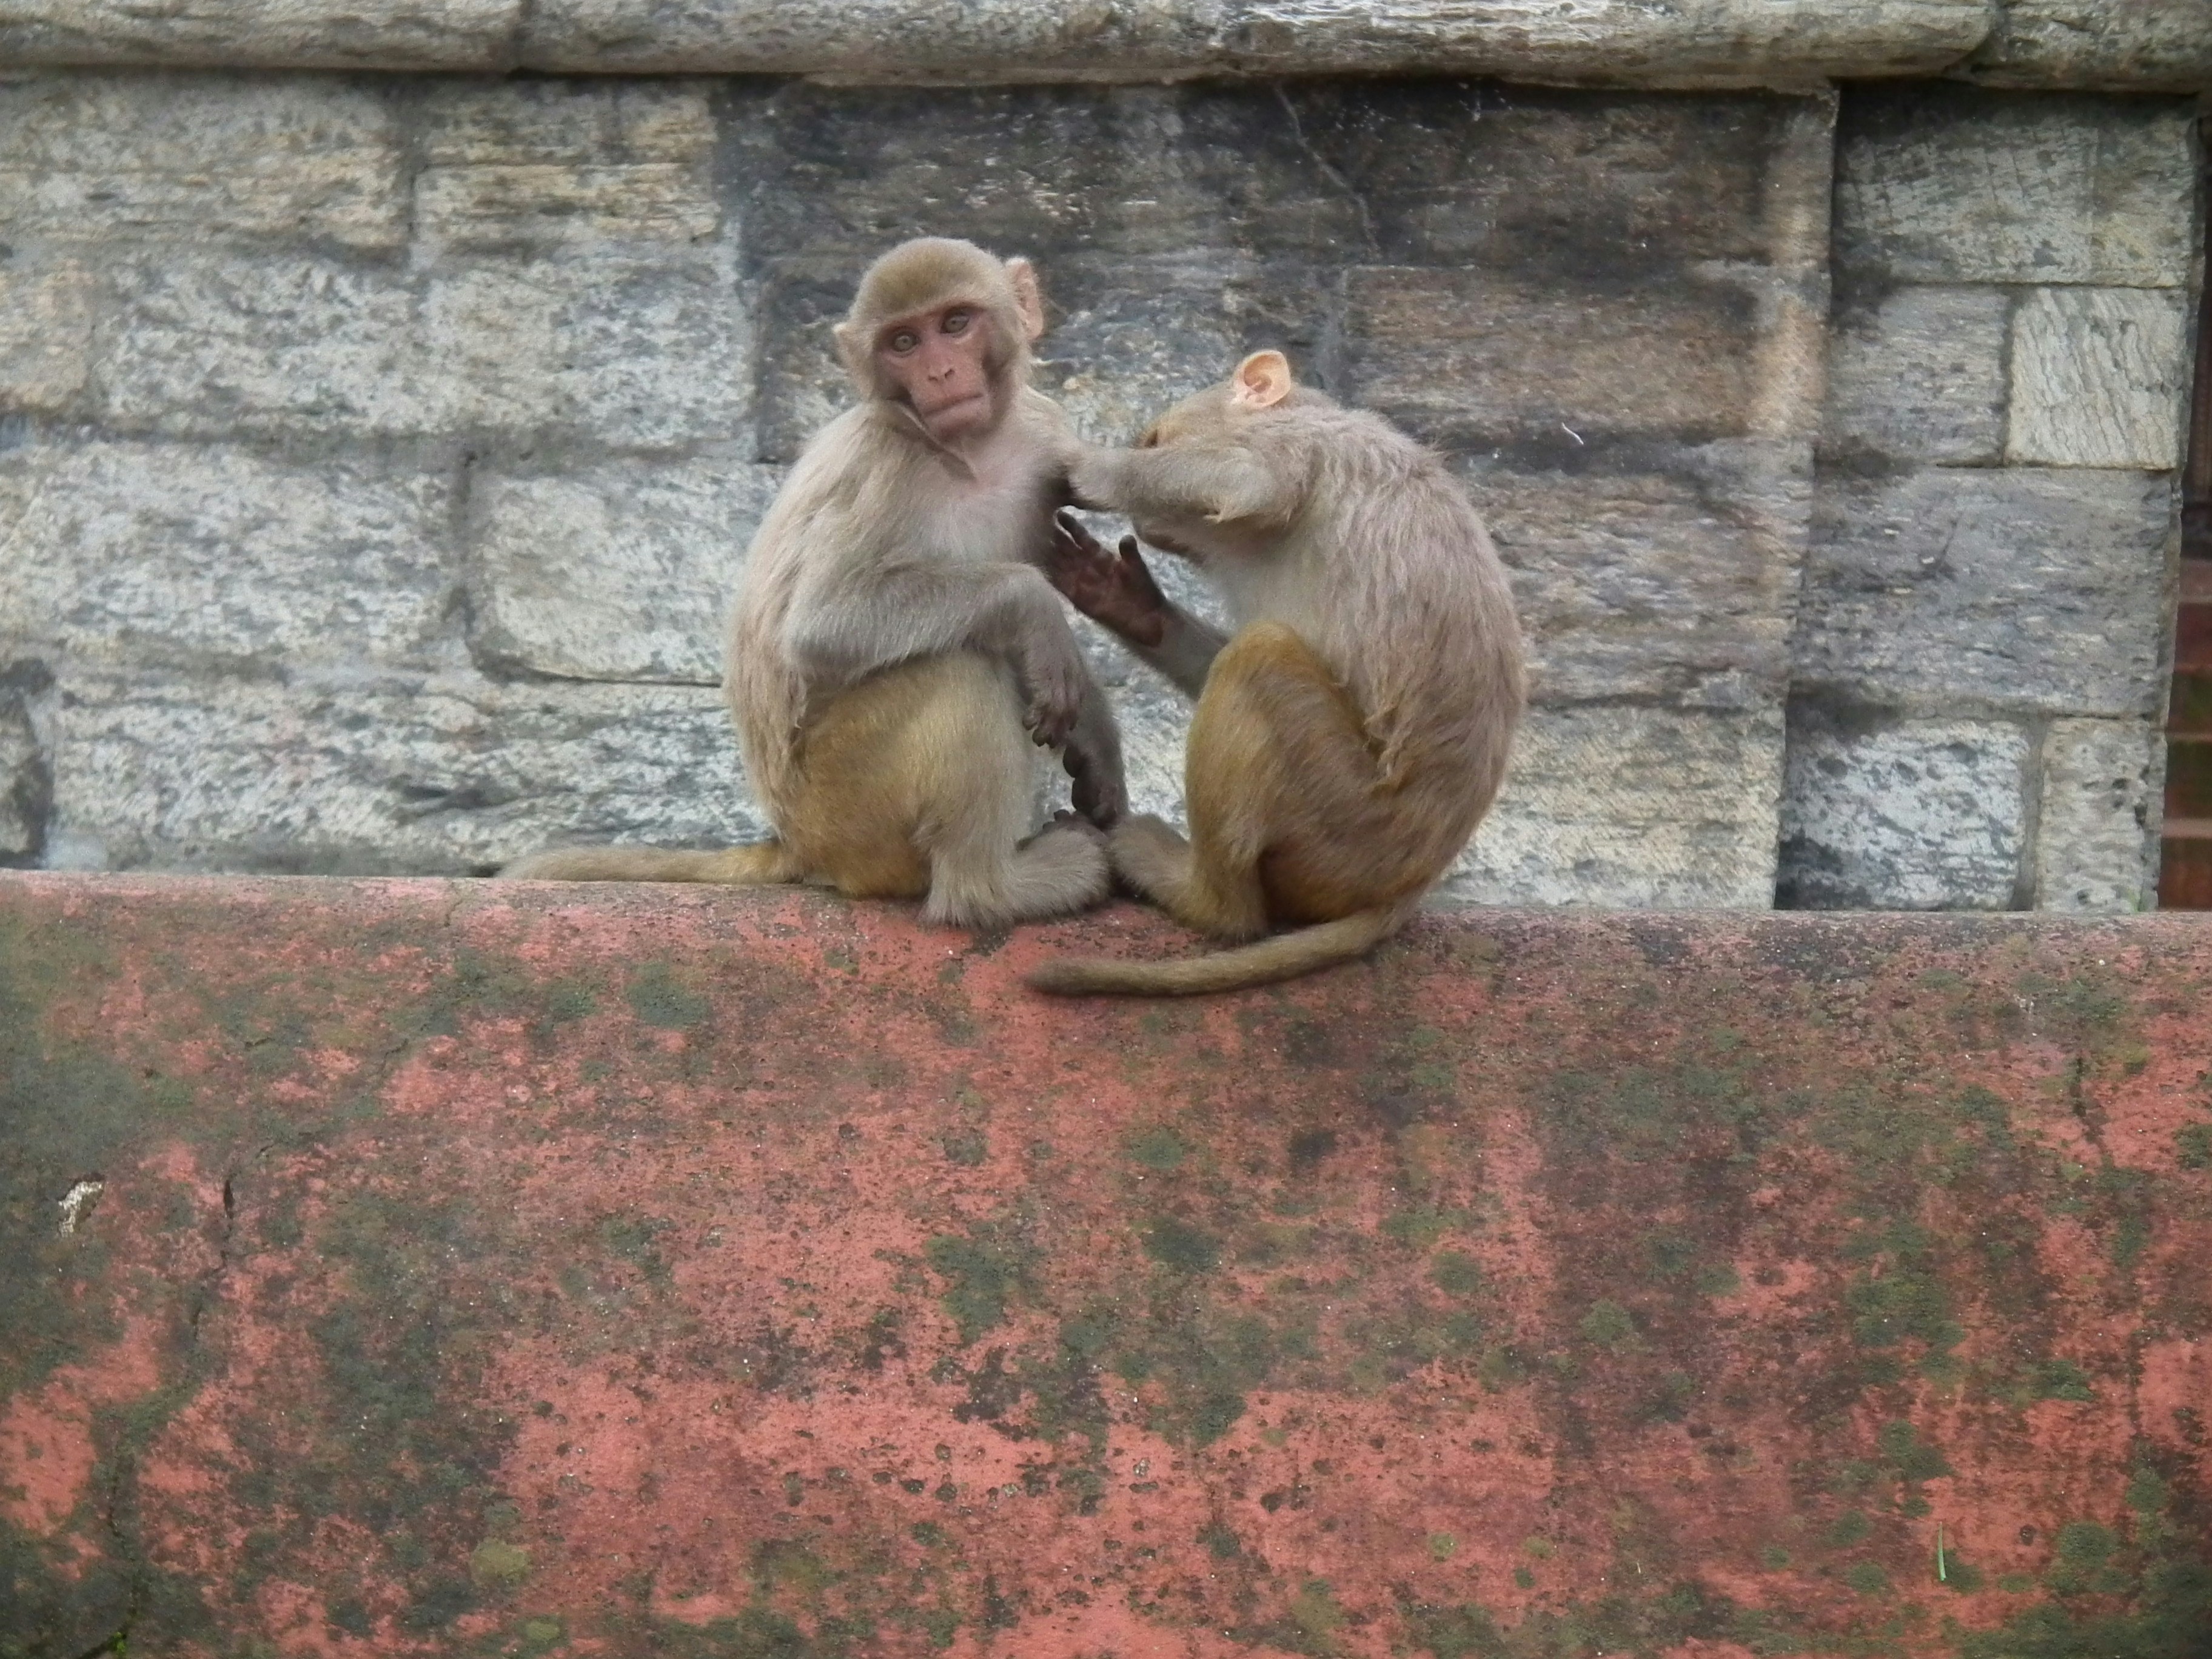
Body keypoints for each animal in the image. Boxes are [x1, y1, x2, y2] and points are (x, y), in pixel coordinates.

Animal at [504, 237, 1125, 928]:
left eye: (956, 324)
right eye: (903, 343)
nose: (940, 374)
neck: (971, 454)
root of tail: (795, 844)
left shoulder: (1044, 434)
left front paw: (1098, 744)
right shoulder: (883, 467)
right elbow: (824, 626)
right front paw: (1034, 608)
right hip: (847, 807)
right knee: (958, 665)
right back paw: (992, 888)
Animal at [1024, 348, 1523, 996]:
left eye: (1156, 443)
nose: (1152, 527)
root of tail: (1408, 887)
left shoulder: (1295, 444)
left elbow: (1252, 481)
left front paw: (1087, 463)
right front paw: (1128, 605)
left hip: (1345, 821)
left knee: (1259, 658)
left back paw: (1202, 898)